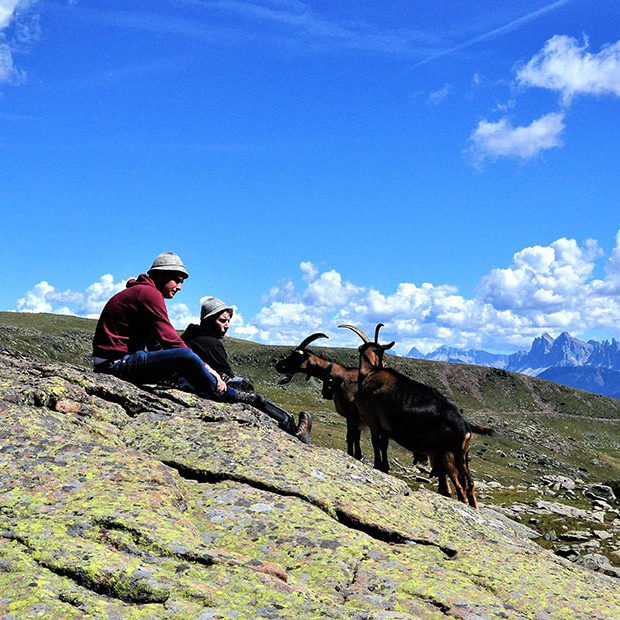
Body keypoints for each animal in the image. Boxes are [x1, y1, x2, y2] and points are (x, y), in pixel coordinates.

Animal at [340, 324, 494, 508]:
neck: (370, 373)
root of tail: (467, 427)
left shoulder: (373, 420)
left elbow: (376, 443)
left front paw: (378, 465)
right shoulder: (385, 427)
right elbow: (384, 445)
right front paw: (385, 467)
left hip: (448, 455)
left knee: (461, 488)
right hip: (462, 456)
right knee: (469, 485)